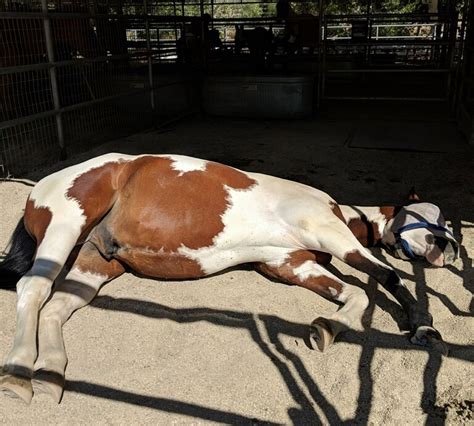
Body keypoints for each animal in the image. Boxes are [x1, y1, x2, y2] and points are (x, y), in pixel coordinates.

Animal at [0, 153, 460, 402]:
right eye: (428, 216)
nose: (450, 249)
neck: (331, 209)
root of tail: (41, 186)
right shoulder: (327, 235)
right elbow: (387, 277)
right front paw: (423, 326)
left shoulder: (292, 263)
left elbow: (355, 296)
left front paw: (326, 328)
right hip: (66, 226)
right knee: (33, 289)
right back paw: (19, 375)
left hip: (94, 262)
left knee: (56, 307)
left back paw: (50, 376)